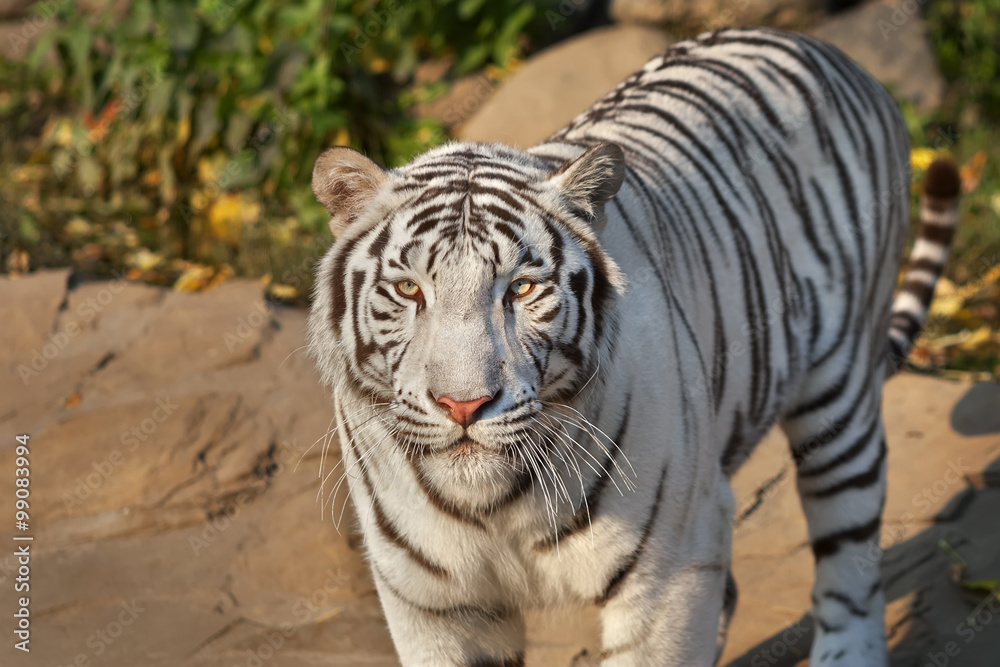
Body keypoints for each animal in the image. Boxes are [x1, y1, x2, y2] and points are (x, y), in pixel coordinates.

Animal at [306, 27, 961, 666]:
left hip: (839, 396)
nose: (463, 406)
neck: (495, 506)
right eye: (409, 289)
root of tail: (823, 48)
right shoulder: (433, 604)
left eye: (521, 288)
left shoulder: (667, 573)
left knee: (850, 563)